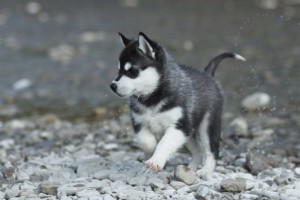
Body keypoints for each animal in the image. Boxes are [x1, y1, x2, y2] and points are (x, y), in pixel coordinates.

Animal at [109, 32, 245, 177]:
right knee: (198, 150)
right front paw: (151, 154)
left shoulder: (180, 126)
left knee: (211, 151)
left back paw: (206, 170)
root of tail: (208, 75)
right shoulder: (139, 123)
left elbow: (164, 143)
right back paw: (190, 169)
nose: (112, 86)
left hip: (208, 125)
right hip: (189, 135)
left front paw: (155, 162)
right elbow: (147, 142)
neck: (153, 98)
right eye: (118, 70)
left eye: (132, 71)